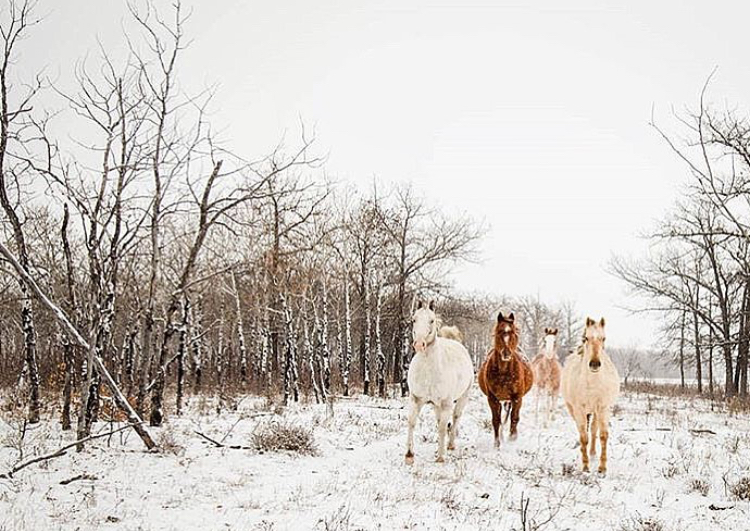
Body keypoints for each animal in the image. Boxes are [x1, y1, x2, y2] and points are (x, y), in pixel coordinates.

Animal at [408, 302, 472, 464]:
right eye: (414, 320)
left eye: (431, 320)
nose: (419, 344)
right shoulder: (416, 399)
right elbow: (411, 422)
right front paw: (409, 455)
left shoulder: (446, 404)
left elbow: (443, 428)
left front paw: (441, 457)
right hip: (436, 405)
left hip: (462, 398)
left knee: (455, 418)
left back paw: (450, 445)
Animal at [482, 310, 536, 446]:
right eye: (499, 332)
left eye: (513, 333)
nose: (506, 353)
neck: (504, 372)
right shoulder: (492, 398)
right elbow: (496, 420)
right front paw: (497, 444)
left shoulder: (517, 398)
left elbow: (514, 418)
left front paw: (512, 438)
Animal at [564, 318, 624, 476]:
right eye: (586, 338)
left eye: (603, 338)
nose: (595, 364)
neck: (592, 384)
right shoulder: (579, 410)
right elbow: (583, 437)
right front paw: (585, 467)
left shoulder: (603, 408)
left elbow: (602, 435)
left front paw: (602, 468)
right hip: (574, 410)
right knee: (584, 431)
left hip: (596, 412)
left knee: (593, 430)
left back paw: (592, 453)